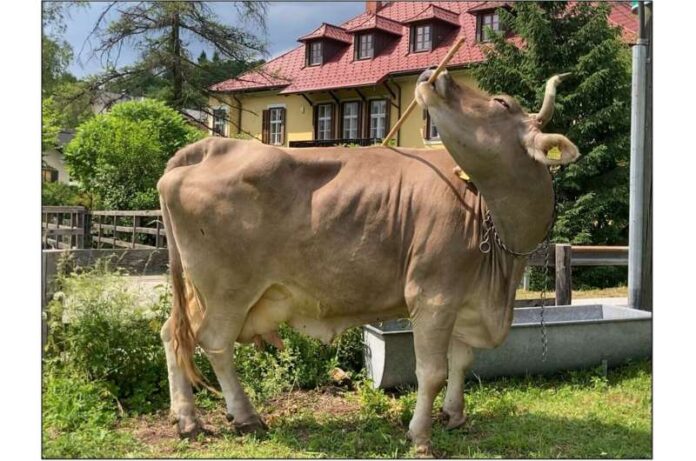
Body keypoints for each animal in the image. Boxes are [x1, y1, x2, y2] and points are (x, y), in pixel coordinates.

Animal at [157, 69, 580, 455]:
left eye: (501, 103)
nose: (435, 74)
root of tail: (211, 147)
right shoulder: (433, 295)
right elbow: (432, 372)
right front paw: (420, 436)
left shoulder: (466, 299)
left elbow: (461, 360)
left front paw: (454, 415)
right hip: (229, 289)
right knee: (214, 343)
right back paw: (245, 416)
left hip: (200, 291)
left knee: (173, 334)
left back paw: (187, 418)